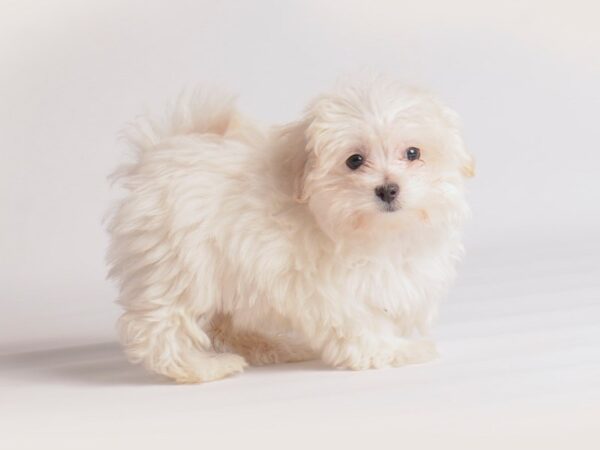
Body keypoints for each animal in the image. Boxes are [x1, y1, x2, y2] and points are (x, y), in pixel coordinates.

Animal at [106, 75, 474, 382]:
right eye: (354, 160)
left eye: (413, 153)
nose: (387, 189)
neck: (381, 233)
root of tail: (160, 154)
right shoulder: (334, 288)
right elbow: (360, 324)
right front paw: (399, 350)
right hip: (181, 266)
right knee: (160, 328)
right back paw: (202, 368)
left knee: (228, 325)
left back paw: (274, 346)